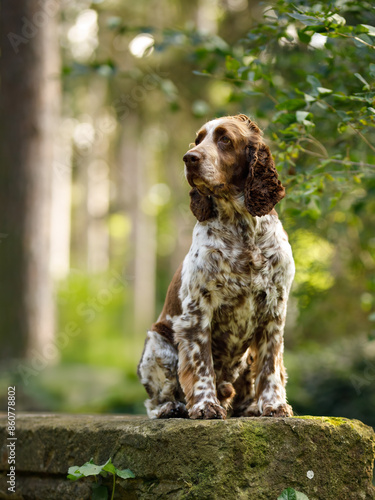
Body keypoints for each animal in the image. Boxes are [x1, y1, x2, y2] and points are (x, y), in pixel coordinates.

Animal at [137, 113, 296, 418]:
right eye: (198, 140)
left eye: (225, 139)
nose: (189, 158)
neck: (241, 227)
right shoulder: (197, 311)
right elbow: (201, 365)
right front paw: (204, 405)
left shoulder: (274, 309)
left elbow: (270, 365)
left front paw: (273, 404)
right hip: (156, 344)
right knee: (156, 399)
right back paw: (171, 407)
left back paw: (250, 406)